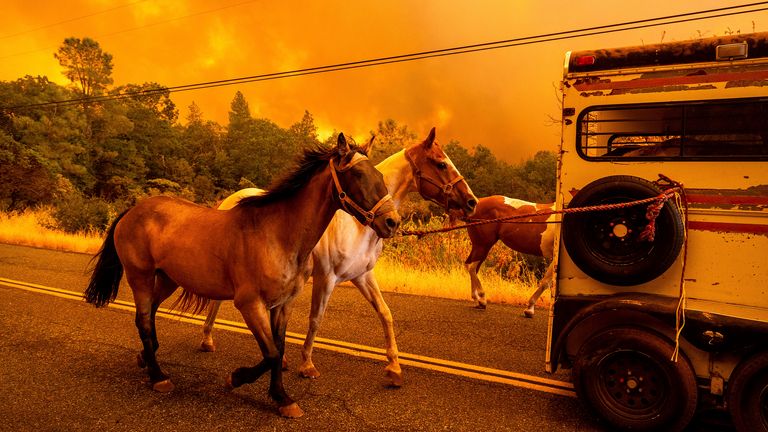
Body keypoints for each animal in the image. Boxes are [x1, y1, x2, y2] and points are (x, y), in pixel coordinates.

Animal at [82, 133, 402, 416]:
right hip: (141, 277)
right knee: (144, 321)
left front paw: (281, 398)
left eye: (379, 175)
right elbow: (271, 353)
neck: (277, 234)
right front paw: (240, 380)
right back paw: (159, 376)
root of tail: (132, 211)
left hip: (167, 280)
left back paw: (145, 360)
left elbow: (278, 350)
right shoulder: (250, 304)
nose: (392, 222)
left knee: (149, 316)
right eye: (358, 175)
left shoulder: (282, 305)